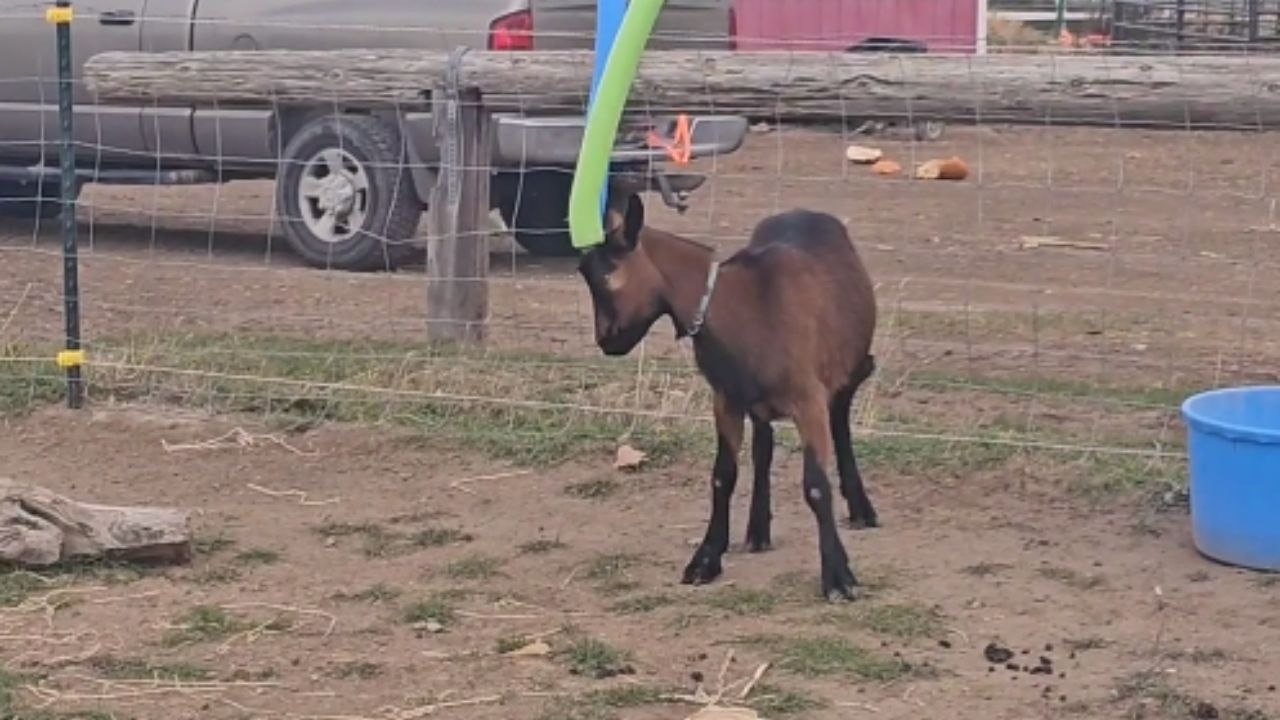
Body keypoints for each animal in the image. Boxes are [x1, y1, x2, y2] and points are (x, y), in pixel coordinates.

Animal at [577, 193, 878, 600]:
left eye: (607, 273)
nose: (606, 341)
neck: (747, 305)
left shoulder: (808, 400)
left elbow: (816, 486)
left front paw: (838, 576)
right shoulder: (726, 400)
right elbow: (723, 476)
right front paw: (705, 559)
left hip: (844, 372)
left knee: (841, 423)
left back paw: (862, 510)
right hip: (758, 401)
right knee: (764, 446)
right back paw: (757, 530)